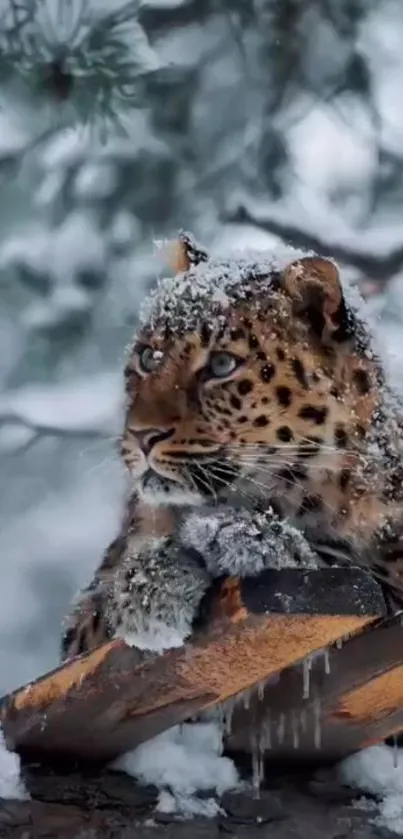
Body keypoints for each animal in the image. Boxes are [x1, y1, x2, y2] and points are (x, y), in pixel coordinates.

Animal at [60, 231, 403, 664]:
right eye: (148, 357)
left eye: (221, 366)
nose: (141, 435)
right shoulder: (79, 625)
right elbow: (96, 615)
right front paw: (152, 583)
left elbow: (352, 569)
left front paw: (246, 536)